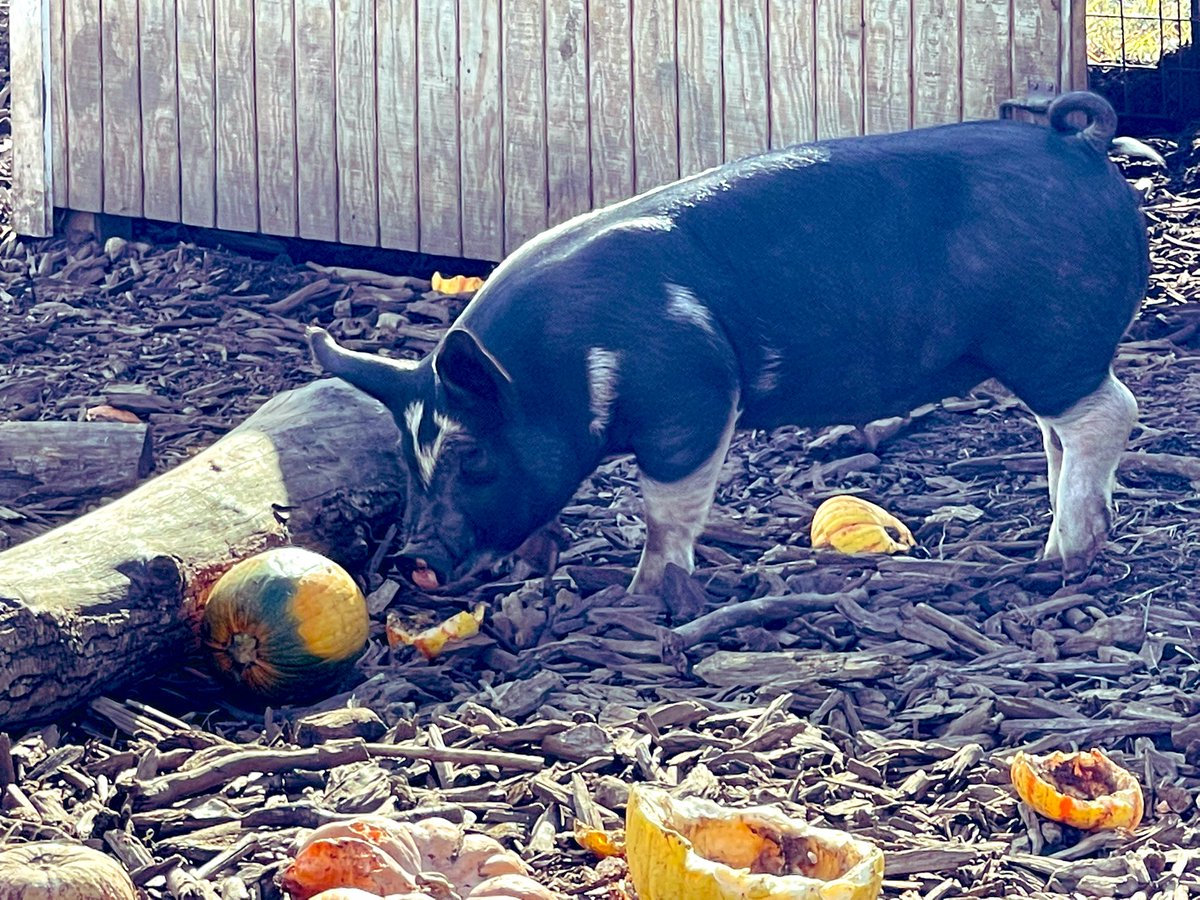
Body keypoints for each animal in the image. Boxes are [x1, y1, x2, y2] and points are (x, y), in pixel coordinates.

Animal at [308, 91, 1148, 595]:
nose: (414, 560)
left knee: (1113, 413)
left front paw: (646, 594)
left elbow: (666, 507)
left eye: (474, 457)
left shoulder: (693, 392)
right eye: (406, 463)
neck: (563, 370)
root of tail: (1081, 149)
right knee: (1061, 432)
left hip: (1050, 339)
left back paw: (1060, 557)